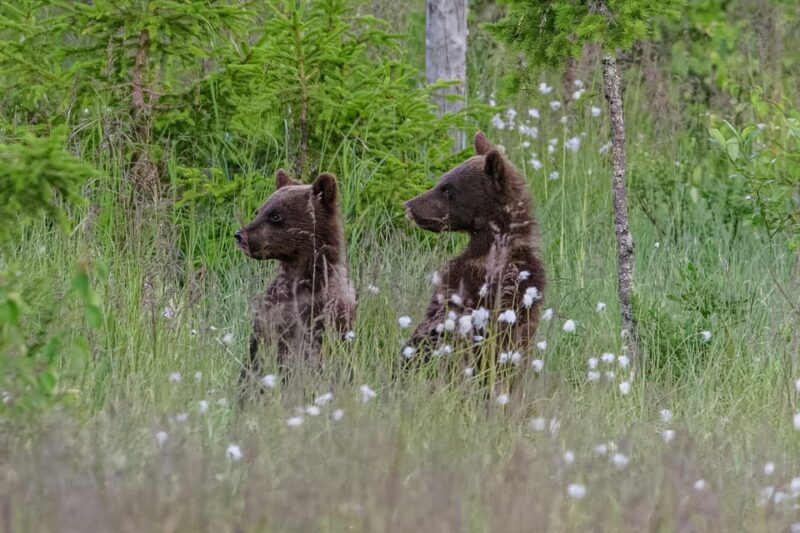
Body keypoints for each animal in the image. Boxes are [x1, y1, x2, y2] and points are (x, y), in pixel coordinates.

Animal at [235, 169, 356, 389]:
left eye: (275, 216)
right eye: (259, 211)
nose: (240, 235)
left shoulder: (328, 314)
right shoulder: (272, 313)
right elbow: (257, 353)